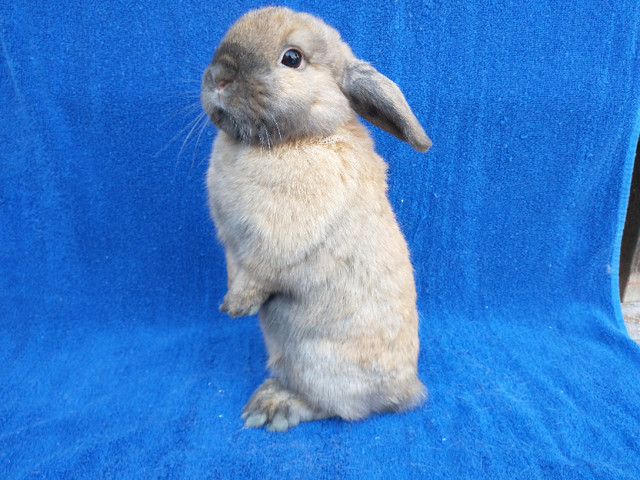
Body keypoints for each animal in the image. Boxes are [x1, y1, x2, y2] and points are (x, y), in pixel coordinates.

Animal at [200, 5, 430, 432]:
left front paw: (237, 308)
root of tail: (407, 389)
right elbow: (234, 270)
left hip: (317, 363)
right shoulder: (231, 248)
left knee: (340, 407)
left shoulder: (272, 247)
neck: (291, 139)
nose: (219, 76)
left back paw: (273, 406)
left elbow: (258, 274)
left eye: (292, 58)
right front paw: (228, 304)